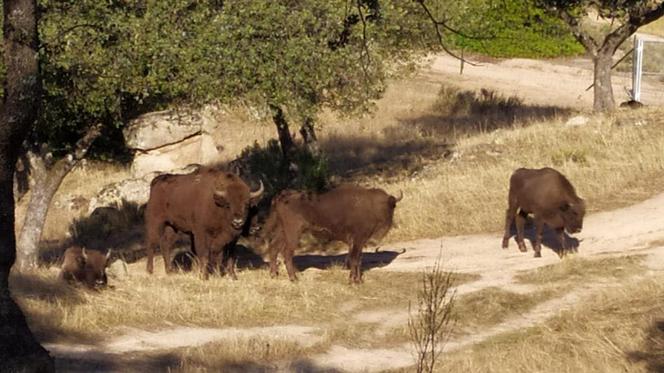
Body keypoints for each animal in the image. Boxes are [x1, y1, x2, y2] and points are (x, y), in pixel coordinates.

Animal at [262, 185, 402, 284]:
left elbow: (357, 259)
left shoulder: (358, 242)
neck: (369, 204)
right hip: (293, 233)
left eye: (391, 206)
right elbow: (355, 259)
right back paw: (294, 279)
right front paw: (354, 281)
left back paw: (274, 275)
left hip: (282, 232)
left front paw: (357, 280)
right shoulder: (358, 239)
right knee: (287, 254)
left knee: (273, 248)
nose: (387, 223)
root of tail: (281, 196)